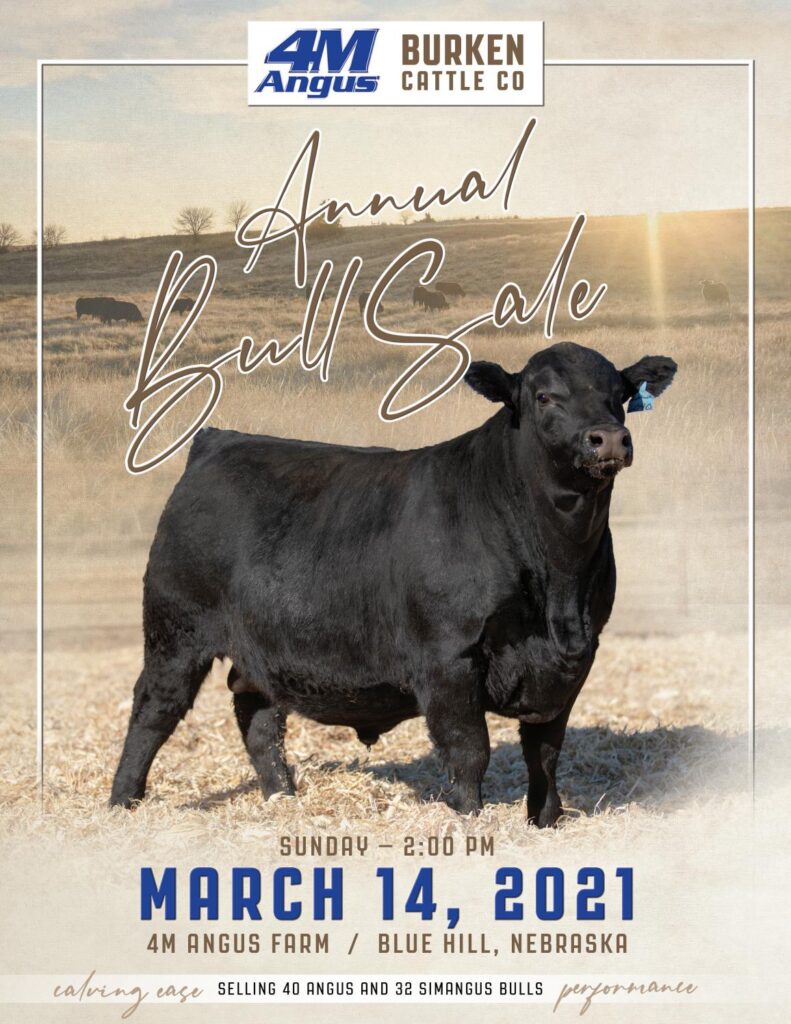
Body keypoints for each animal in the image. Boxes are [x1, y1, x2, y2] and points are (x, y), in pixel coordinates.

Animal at [109, 341, 677, 827]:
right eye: (544, 396)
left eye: (619, 396)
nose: (607, 437)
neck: (557, 578)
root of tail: (220, 440)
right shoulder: (449, 656)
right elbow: (469, 749)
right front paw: (468, 819)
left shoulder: (574, 657)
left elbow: (545, 751)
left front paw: (546, 820)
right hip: (176, 631)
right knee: (153, 708)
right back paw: (123, 802)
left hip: (261, 648)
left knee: (258, 717)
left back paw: (282, 797)